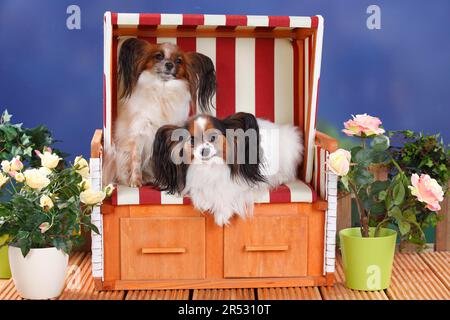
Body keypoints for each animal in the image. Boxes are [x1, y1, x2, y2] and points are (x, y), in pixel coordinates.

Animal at [106, 38, 218, 188]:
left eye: (179, 61)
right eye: (158, 56)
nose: (169, 64)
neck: (163, 90)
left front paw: (165, 182)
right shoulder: (140, 132)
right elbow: (136, 159)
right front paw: (135, 181)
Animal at [151, 112, 302, 225]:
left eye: (213, 137)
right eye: (192, 140)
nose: (204, 151)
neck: (211, 167)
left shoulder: (247, 185)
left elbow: (230, 192)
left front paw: (222, 213)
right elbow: (198, 189)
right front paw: (205, 201)